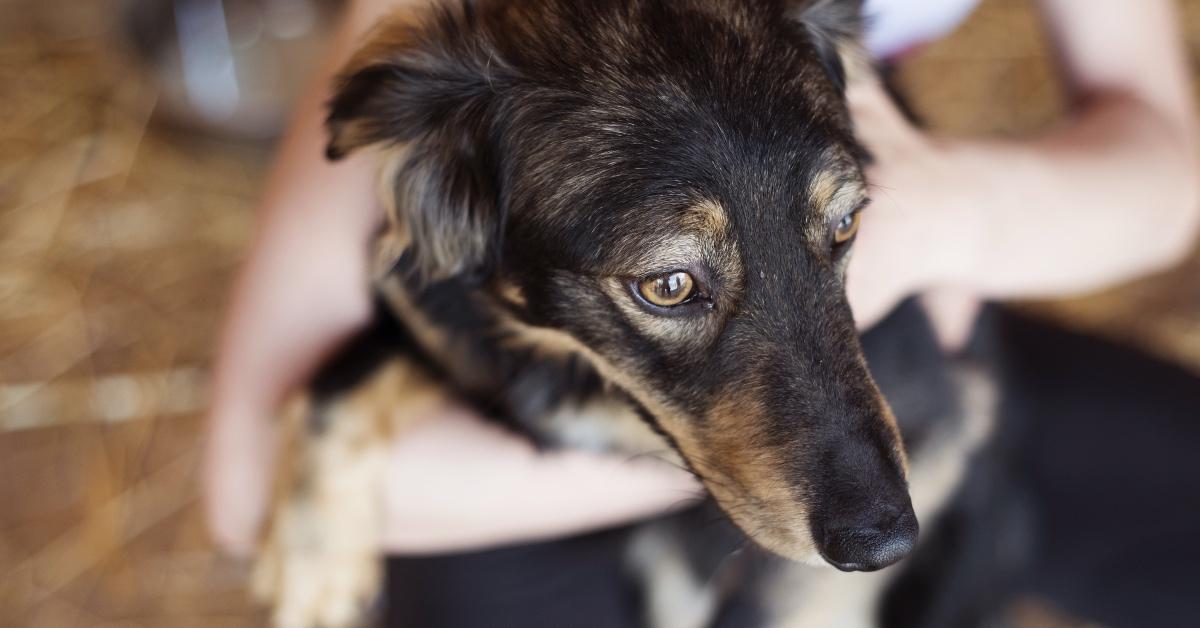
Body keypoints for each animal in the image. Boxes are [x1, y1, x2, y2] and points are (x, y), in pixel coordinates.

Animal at [250, 2, 993, 624]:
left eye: (845, 226)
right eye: (667, 285)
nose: (886, 542)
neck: (582, 363)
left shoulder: (943, 411)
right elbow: (334, 386)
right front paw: (310, 566)